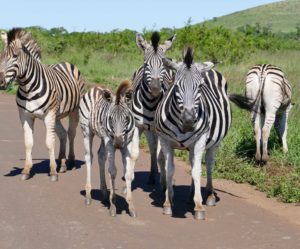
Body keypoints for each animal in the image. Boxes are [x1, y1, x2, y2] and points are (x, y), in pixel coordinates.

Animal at [0, 28, 85, 181]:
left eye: (15, 56)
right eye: (1, 56)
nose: (0, 82)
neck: (27, 88)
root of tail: (65, 62)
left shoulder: (49, 114)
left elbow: (49, 143)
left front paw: (53, 172)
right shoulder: (25, 116)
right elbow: (28, 143)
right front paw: (26, 171)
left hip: (73, 111)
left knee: (71, 133)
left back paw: (70, 161)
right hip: (57, 116)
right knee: (63, 134)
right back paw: (62, 164)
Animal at [80, 80, 140, 217]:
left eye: (126, 118)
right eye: (110, 118)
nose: (117, 143)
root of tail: (95, 88)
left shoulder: (127, 144)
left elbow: (128, 174)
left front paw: (131, 206)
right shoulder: (110, 142)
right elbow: (112, 171)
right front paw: (113, 205)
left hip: (103, 138)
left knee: (100, 156)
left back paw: (104, 193)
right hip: (87, 131)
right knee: (89, 157)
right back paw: (88, 195)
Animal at [132, 31, 176, 185]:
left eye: (163, 65)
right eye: (146, 64)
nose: (156, 89)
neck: (150, 104)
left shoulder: (161, 131)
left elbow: (161, 156)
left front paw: (164, 182)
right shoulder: (138, 126)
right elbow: (134, 153)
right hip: (148, 129)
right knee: (152, 147)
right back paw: (152, 175)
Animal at [155, 47, 232, 219]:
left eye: (200, 87)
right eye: (176, 86)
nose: (189, 121)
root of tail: (209, 69)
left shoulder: (200, 139)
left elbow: (197, 171)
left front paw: (199, 206)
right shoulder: (165, 140)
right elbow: (170, 170)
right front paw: (168, 202)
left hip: (214, 143)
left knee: (208, 164)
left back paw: (208, 195)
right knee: (192, 161)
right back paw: (191, 195)